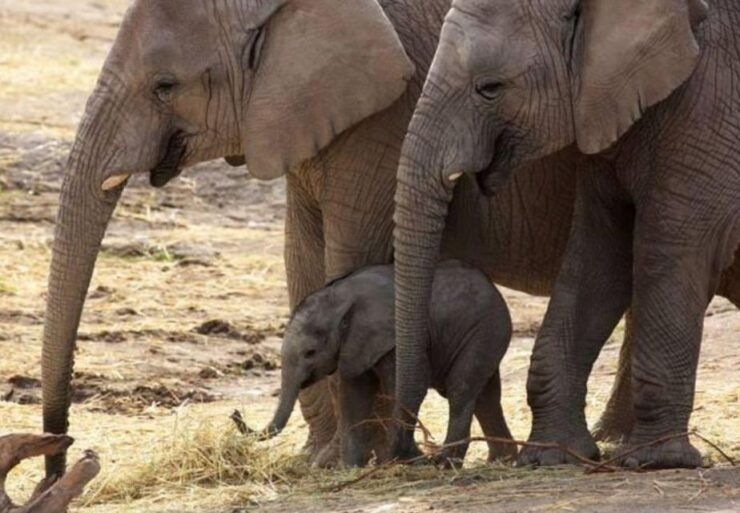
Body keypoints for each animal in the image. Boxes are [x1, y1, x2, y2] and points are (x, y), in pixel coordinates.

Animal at [243, 261, 516, 467]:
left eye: (310, 353)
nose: (236, 414)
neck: (340, 299)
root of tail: (494, 289)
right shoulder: (354, 346)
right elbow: (354, 395)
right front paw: (350, 469)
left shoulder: (391, 337)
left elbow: (404, 386)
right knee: (486, 396)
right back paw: (500, 460)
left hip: (484, 329)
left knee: (461, 389)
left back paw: (445, 463)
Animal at [392, 0, 740, 469]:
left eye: (490, 88)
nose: (416, 453)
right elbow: (597, 256)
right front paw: (552, 456)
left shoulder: (713, 103)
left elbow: (668, 250)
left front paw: (657, 460)